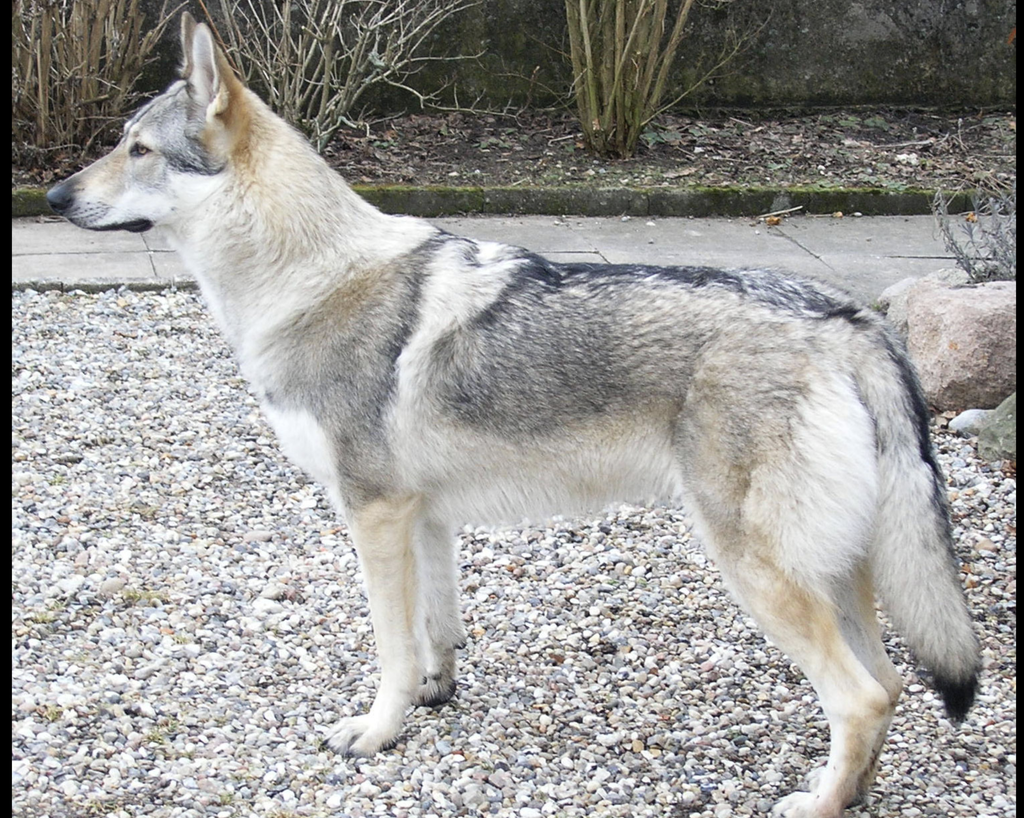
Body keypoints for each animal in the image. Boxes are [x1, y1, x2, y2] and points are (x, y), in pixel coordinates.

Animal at [47, 13, 979, 817]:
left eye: (136, 148)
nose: (52, 195)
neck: (309, 279)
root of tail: (847, 318)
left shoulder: (373, 515)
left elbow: (390, 646)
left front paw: (378, 732)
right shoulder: (423, 517)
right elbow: (437, 631)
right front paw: (436, 696)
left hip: (759, 569)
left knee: (860, 698)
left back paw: (816, 802)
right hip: (836, 569)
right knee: (894, 685)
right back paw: (850, 793)